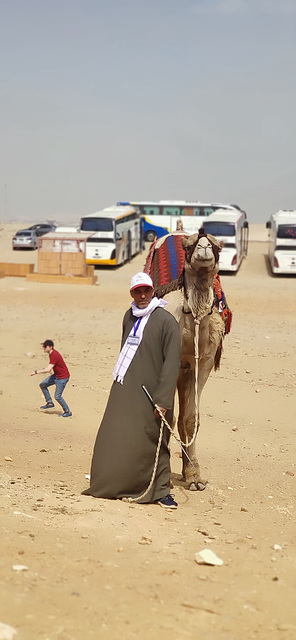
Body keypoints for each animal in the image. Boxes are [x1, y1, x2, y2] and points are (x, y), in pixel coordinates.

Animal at [146, 229, 229, 490]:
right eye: (189, 246)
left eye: (217, 246)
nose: (203, 248)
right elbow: (167, 415)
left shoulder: (204, 362)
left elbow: (191, 418)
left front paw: (194, 477)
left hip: (186, 369)